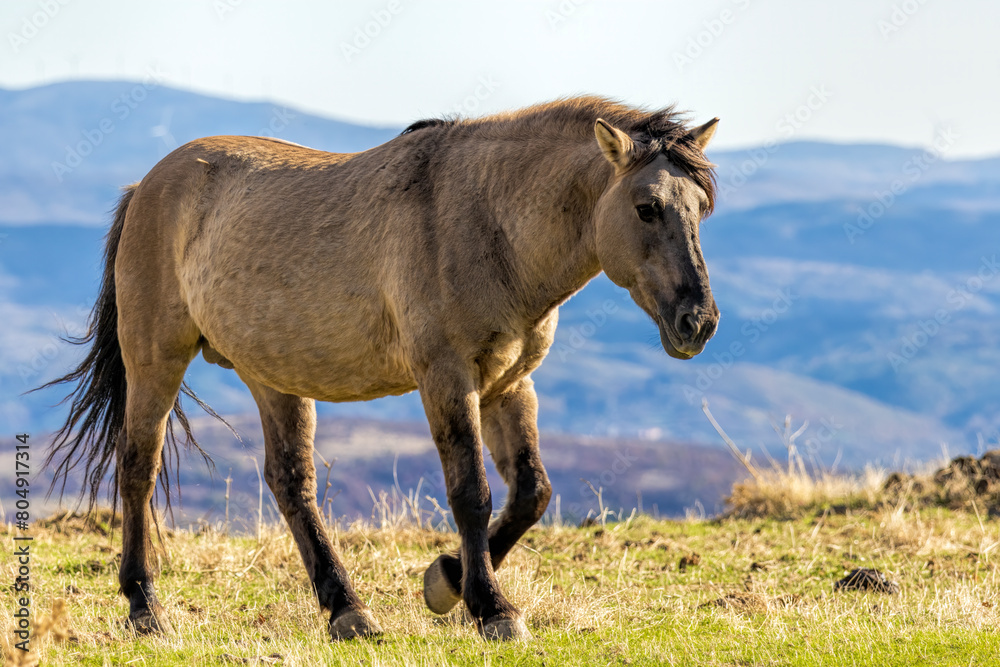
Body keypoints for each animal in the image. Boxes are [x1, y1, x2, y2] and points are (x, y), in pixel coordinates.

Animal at [43, 96, 720, 641]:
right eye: (647, 207)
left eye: (702, 209)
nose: (699, 321)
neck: (484, 219)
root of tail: (146, 186)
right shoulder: (447, 377)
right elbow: (471, 493)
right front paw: (490, 608)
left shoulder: (509, 384)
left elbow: (532, 491)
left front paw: (446, 579)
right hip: (156, 359)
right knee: (138, 468)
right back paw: (145, 607)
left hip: (274, 376)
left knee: (291, 483)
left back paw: (347, 608)